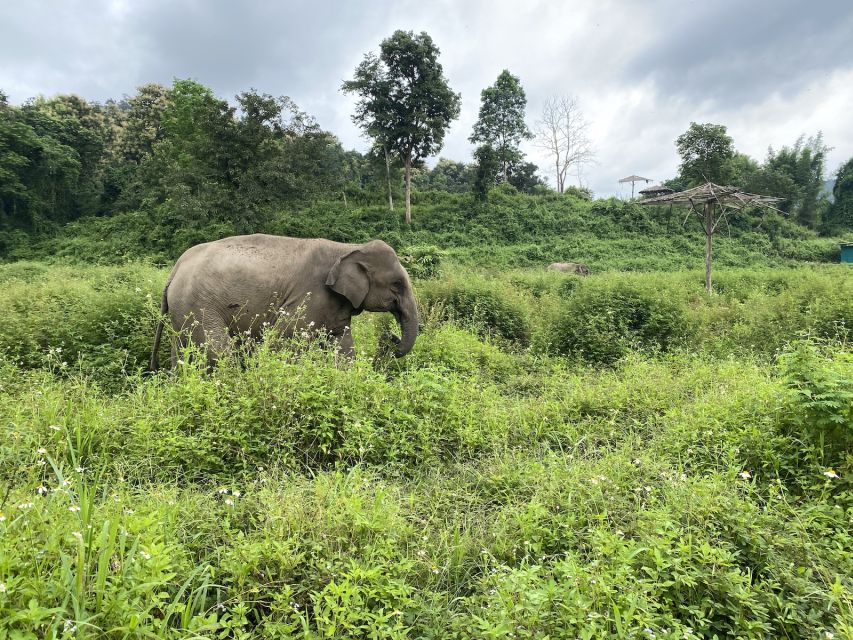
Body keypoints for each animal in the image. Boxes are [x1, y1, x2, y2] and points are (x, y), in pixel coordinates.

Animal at [152, 234, 420, 370]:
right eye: (397, 284)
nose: (390, 338)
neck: (348, 248)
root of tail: (175, 270)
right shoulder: (310, 296)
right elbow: (284, 341)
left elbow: (343, 348)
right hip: (199, 305)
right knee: (217, 351)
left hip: (183, 309)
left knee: (182, 351)